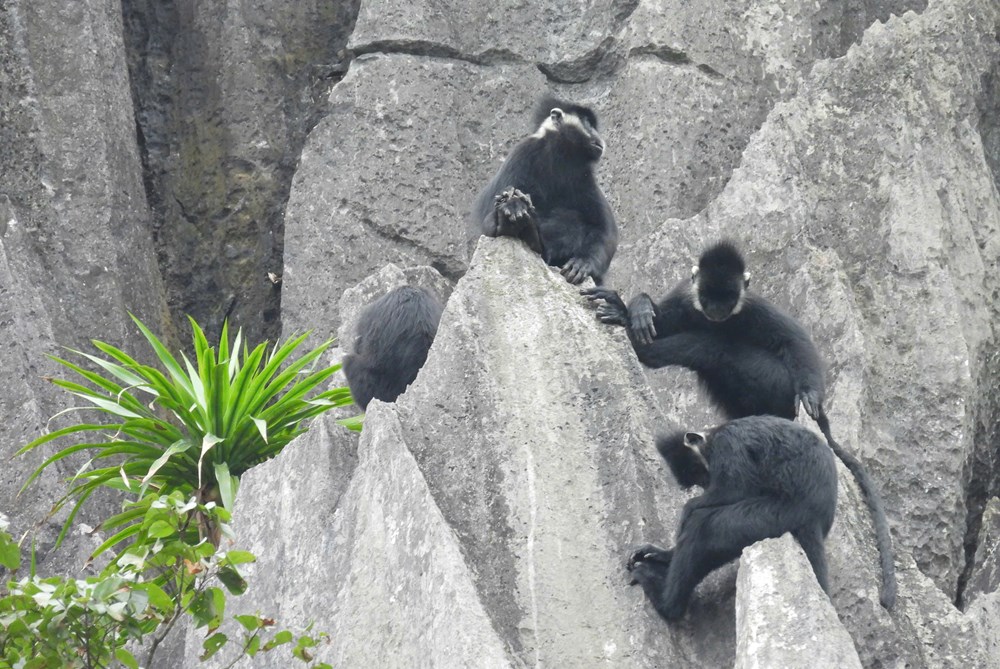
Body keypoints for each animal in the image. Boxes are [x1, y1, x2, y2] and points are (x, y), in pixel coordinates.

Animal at [470, 95, 616, 284]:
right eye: (587, 122)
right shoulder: (523, 152)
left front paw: (584, 263)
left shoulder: (583, 177)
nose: (599, 138)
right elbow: (488, 220)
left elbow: (606, 230)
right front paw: (513, 206)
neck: (560, 156)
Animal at [628, 418, 840, 620]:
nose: (705, 484)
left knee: (702, 527)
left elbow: (738, 489)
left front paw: (688, 508)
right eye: (697, 477)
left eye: (698, 471)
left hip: (774, 518)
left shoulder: (727, 444)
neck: (713, 436)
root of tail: (816, 519)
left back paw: (668, 606)